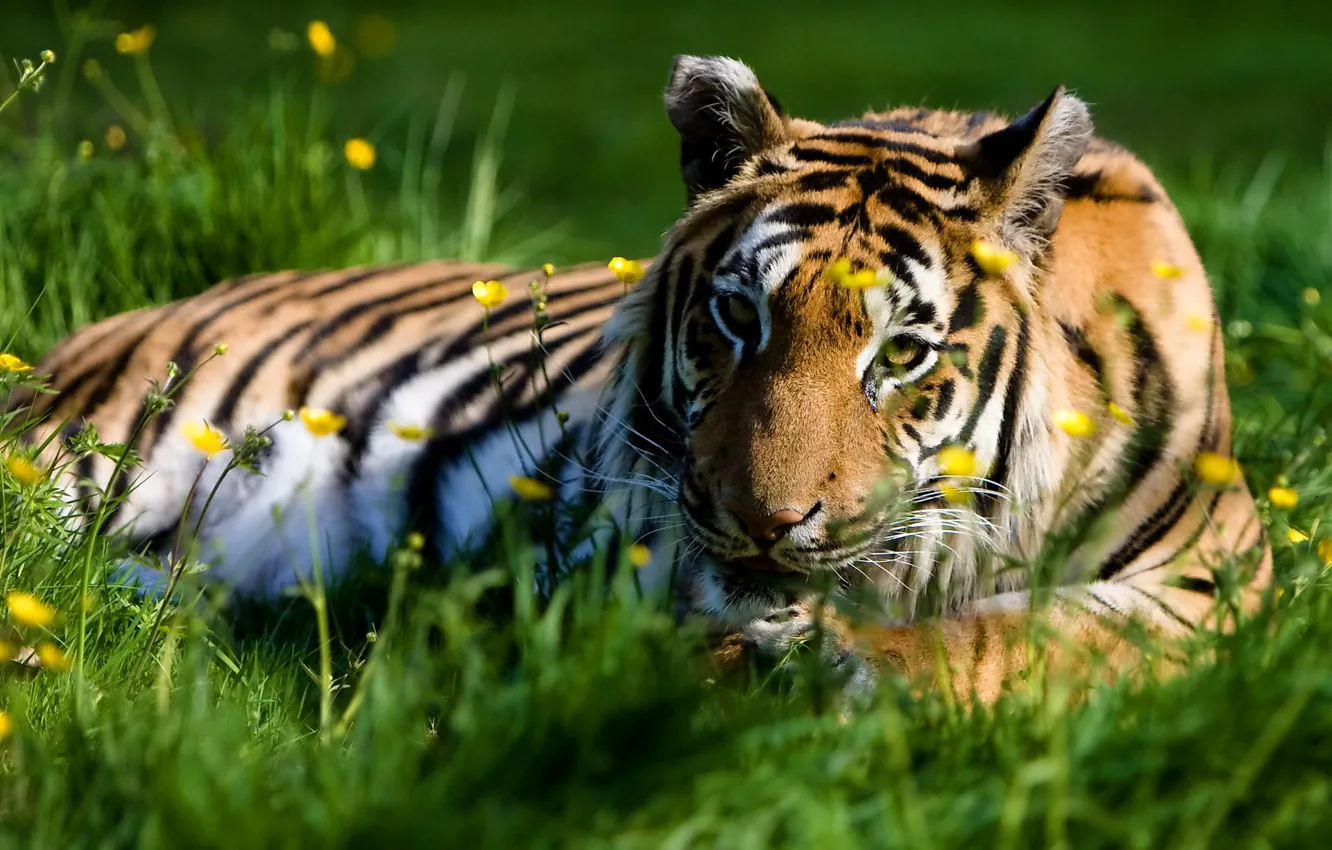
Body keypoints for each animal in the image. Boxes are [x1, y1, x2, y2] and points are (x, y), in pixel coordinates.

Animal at [10, 55, 1271, 701]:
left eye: (900, 355)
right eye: (737, 316)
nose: (767, 521)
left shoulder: (1210, 586)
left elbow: (1017, 640)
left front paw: (830, 662)